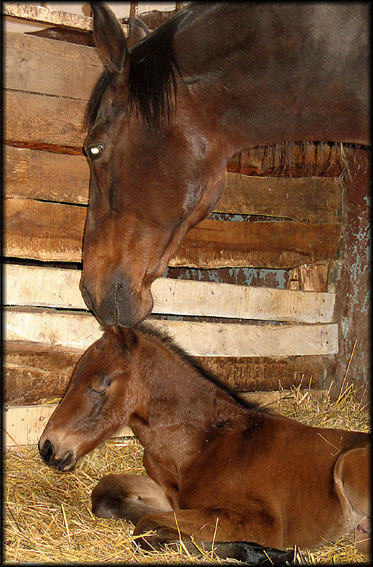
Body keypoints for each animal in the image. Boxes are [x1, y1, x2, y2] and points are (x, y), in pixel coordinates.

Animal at [38, 326, 370, 560]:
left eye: (100, 385)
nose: (47, 447)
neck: (201, 445)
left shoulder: (265, 521)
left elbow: (147, 528)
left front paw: (264, 553)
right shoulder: (171, 497)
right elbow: (111, 498)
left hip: (349, 465)